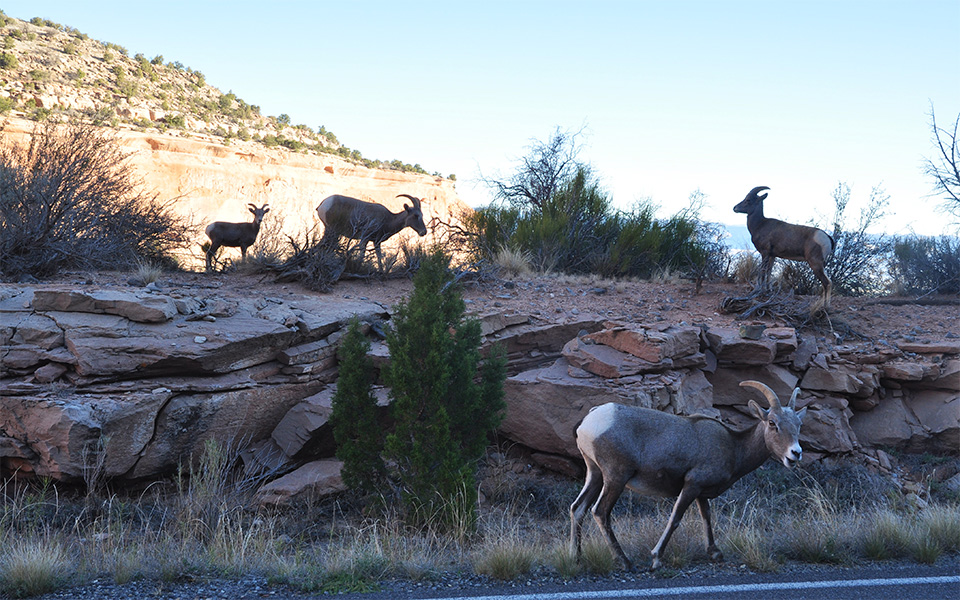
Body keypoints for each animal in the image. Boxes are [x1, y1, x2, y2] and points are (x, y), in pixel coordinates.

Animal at [572, 382, 808, 568]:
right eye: (772, 423)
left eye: (798, 425)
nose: (795, 453)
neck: (734, 447)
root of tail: (591, 419)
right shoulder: (691, 486)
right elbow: (676, 518)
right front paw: (656, 559)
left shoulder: (701, 493)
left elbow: (707, 518)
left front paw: (715, 554)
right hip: (616, 478)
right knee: (600, 512)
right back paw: (625, 562)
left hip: (595, 475)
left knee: (578, 508)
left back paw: (576, 559)